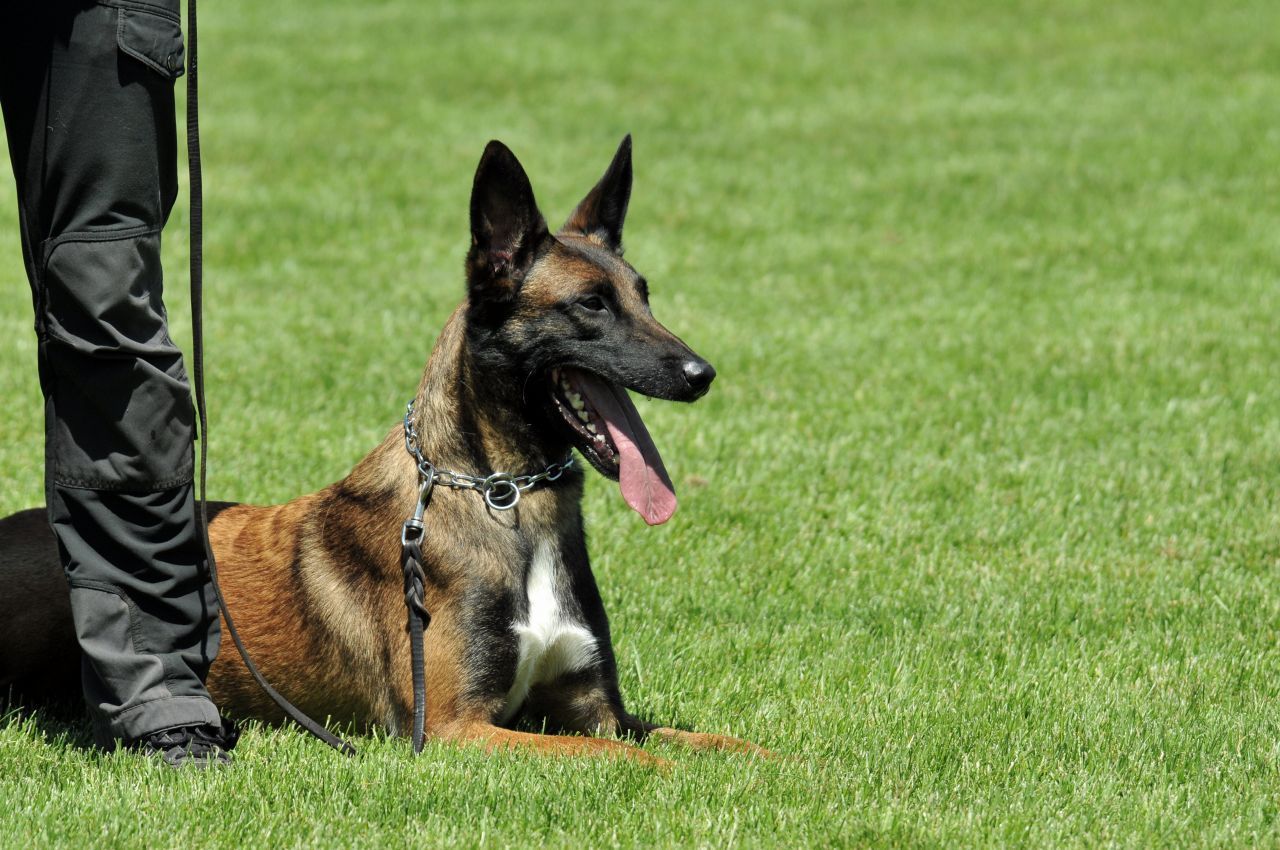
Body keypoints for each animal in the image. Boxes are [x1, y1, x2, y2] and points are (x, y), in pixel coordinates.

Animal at [0, 137, 757, 762]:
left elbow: (713, 743)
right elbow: (637, 761)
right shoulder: (456, 728)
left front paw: (781, 768)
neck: (503, 498)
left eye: (644, 296)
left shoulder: (599, 712)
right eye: (592, 305)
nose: (702, 374)